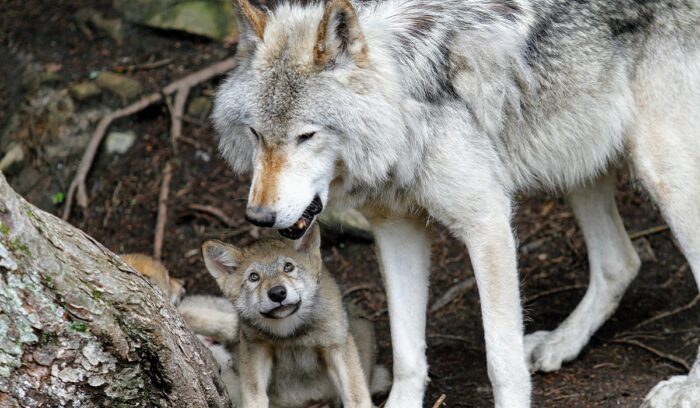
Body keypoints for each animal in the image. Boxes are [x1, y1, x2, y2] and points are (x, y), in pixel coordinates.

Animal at [199, 224, 390, 407]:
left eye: (288, 267)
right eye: (254, 277)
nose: (277, 293)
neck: (291, 333)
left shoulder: (336, 345)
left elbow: (356, 395)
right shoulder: (255, 347)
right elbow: (254, 395)